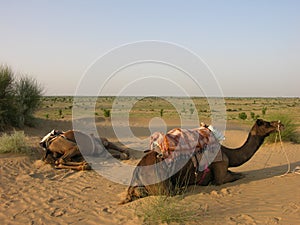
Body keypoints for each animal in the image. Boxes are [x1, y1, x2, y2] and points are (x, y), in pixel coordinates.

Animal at [119, 119, 284, 204]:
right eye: (267, 124)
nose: (280, 124)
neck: (228, 153)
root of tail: (137, 170)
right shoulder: (221, 173)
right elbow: (239, 175)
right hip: (162, 183)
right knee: (170, 191)